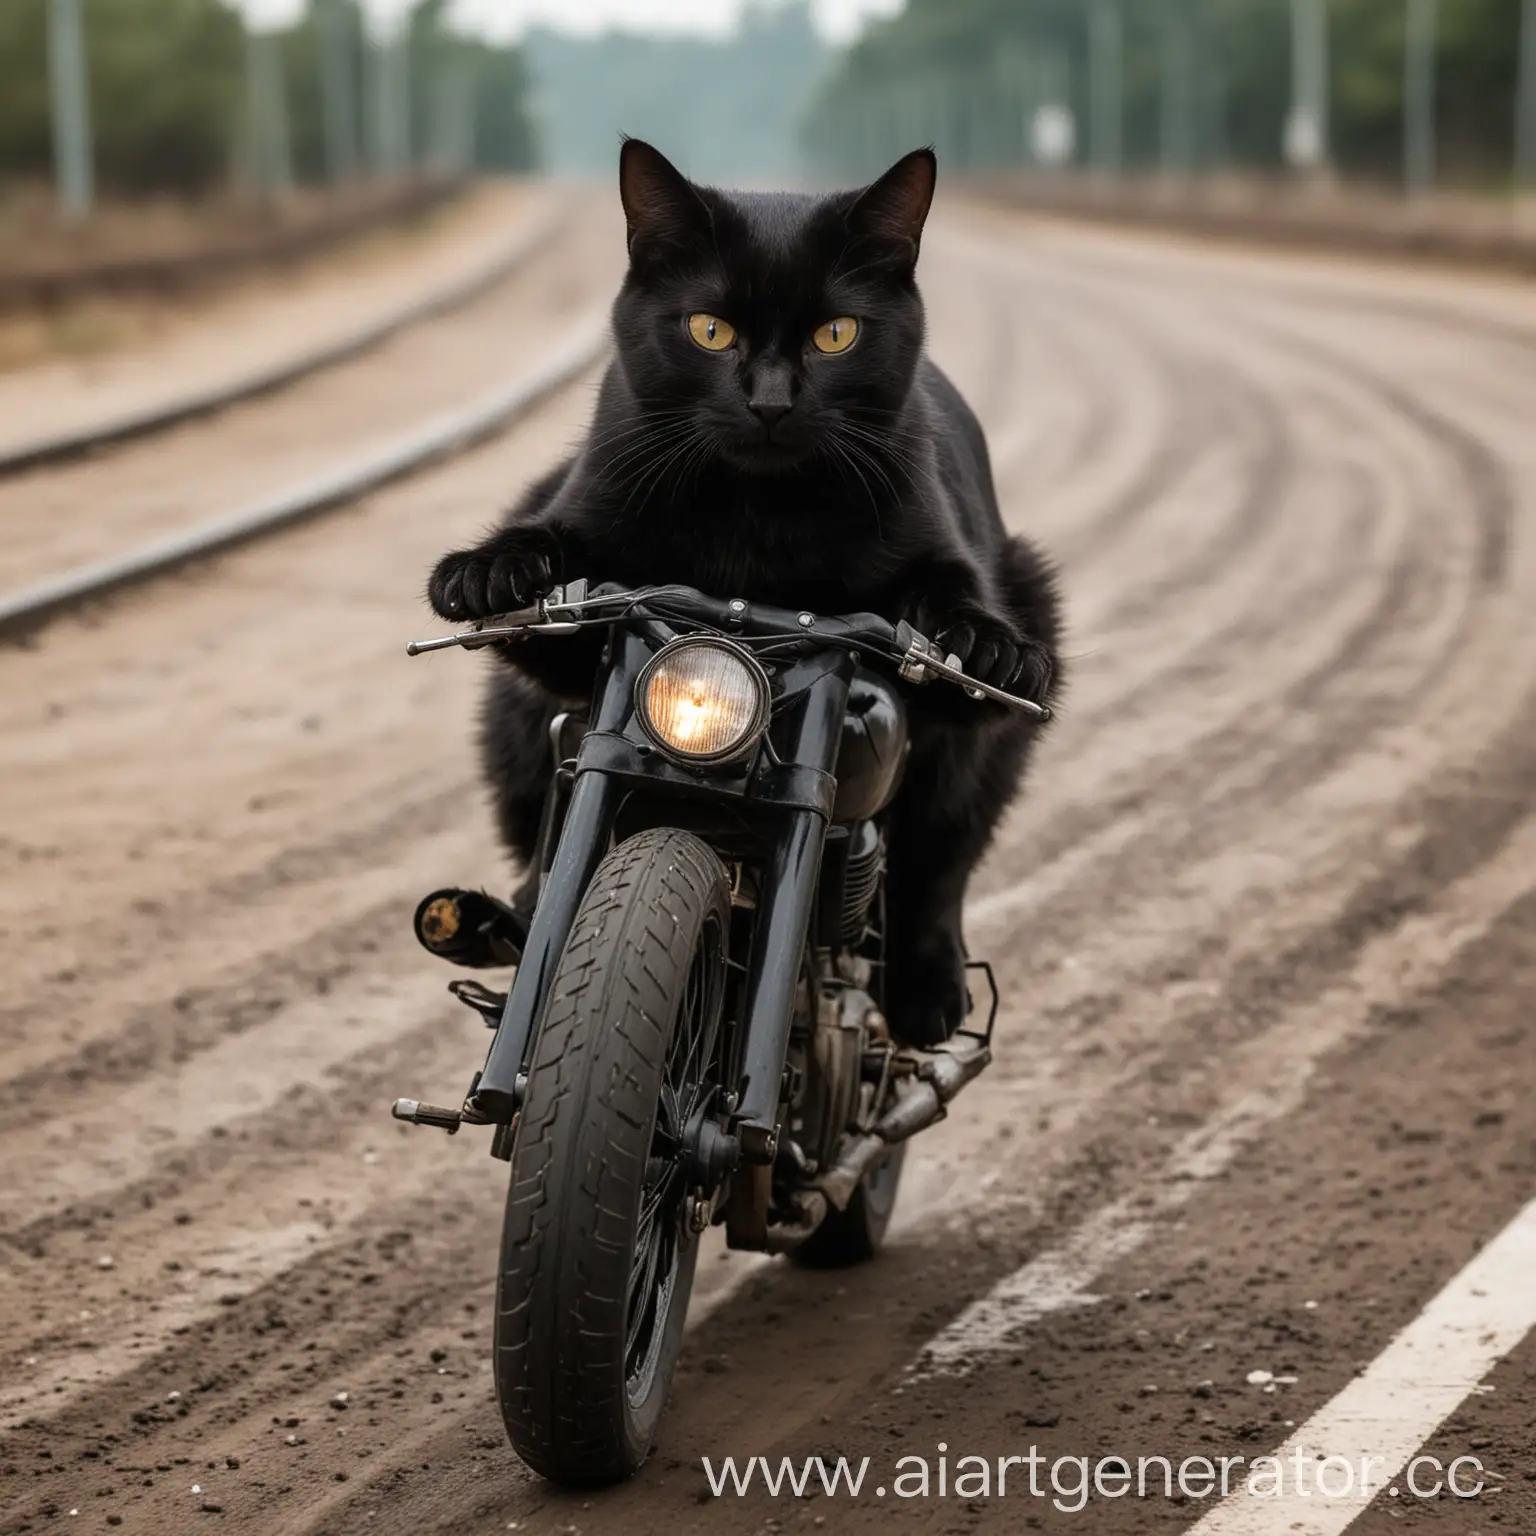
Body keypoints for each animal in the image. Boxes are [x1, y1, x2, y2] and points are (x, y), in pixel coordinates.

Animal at [427, 141, 1062, 1044]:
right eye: (709, 329)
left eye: (836, 335)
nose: (769, 401)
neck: (753, 530)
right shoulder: (593, 588)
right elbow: (546, 554)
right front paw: (485, 570)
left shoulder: (942, 566)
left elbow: (953, 612)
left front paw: (986, 642)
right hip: (520, 729)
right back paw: (498, 921)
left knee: (938, 867)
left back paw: (928, 992)